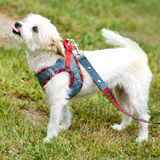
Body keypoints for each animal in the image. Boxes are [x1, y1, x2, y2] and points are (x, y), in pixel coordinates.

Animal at [10, 13, 152, 142]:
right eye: (26, 21)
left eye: (35, 29)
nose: (17, 24)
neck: (52, 60)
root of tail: (139, 55)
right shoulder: (64, 97)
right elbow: (66, 114)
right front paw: (64, 128)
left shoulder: (57, 100)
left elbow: (53, 123)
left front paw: (48, 140)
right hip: (121, 92)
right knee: (128, 111)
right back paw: (121, 127)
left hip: (137, 96)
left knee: (144, 118)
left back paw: (142, 138)